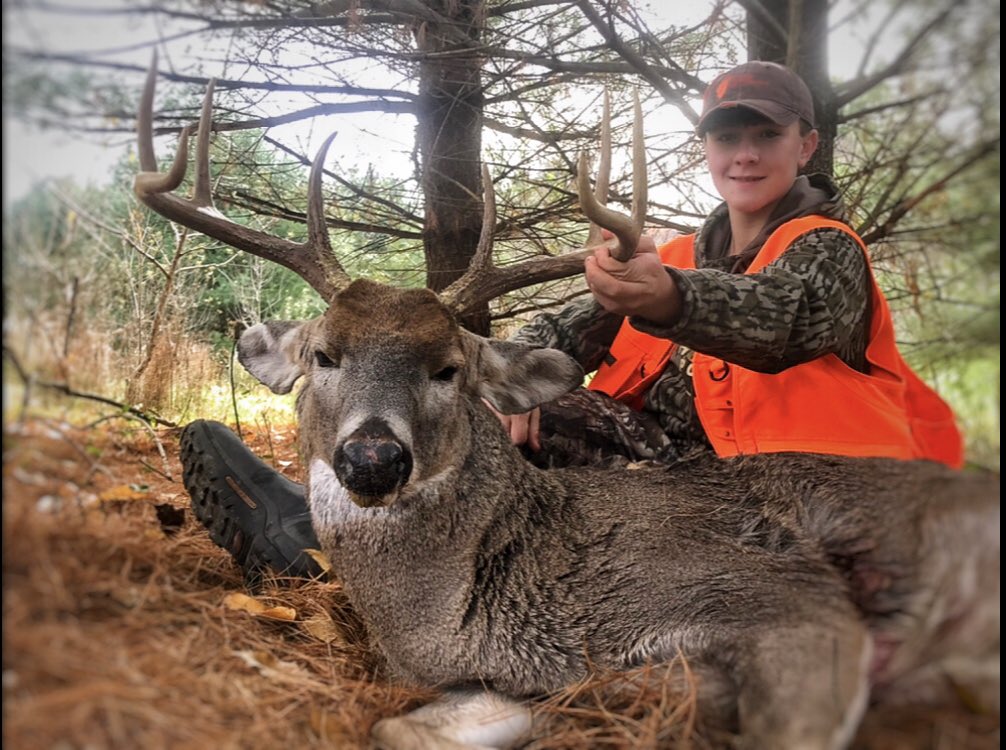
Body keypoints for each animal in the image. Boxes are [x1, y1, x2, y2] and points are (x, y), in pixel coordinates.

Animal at [135, 58, 999, 750]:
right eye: (325, 356)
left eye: (449, 368)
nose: (372, 458)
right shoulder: (526, 682)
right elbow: (399, 728)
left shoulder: (781, 600)